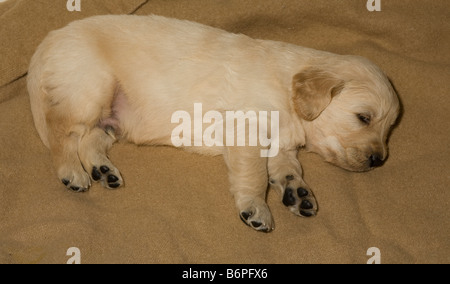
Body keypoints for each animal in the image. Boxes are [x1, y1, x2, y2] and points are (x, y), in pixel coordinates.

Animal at [28, 14, 400, 233]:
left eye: (388, 129)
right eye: (363, 117)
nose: (378, 160)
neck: (289, 93)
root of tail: (49, 40)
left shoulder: (281, 144)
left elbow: (287, 168)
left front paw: (298, 193)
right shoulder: (247, 128)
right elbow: (255, 174)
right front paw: (256, 208)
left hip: (111, 117)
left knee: (89, 140)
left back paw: (103, 171)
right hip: (89, 87)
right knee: (61, 133)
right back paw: (72, 173)